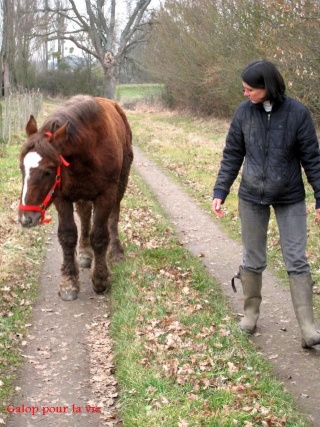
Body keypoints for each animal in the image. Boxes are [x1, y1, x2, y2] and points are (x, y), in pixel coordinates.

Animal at [17, 94, 132, 300]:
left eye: (48, 171)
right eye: (22, 167)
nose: (25, 218)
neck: (89, 147)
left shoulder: (106, 195)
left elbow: (100, 236)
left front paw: (101, 279)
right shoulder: (62, 197)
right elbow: (68, 235)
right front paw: (69, 282)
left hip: (120, 185)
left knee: (114, 215)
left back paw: (116, 251)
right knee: (85, 215)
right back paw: (85, 252)